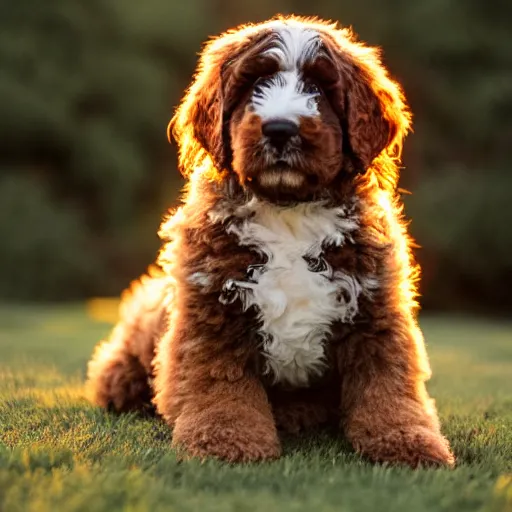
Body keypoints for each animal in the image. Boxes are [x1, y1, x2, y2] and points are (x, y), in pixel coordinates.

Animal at [86, 14, 454, 468]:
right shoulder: (212, 314)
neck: (288, 211)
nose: (280, 128)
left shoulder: (376, 313)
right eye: (254, 84)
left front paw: (409, 442)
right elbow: (221, 386)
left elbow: (388, 386)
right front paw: (226, 442)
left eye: (318, 88)